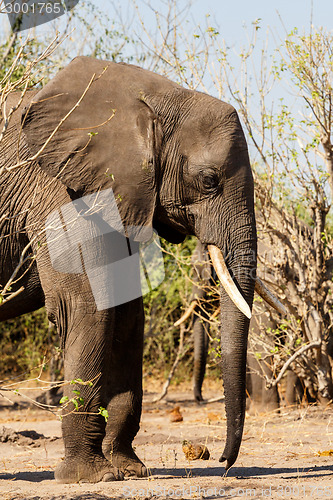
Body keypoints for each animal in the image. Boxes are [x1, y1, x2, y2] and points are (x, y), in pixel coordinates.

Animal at [0, 56, 280, 482]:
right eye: (209, 180)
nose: (222, 461)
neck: (152, 96)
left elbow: (128, 314)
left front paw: (130, 470)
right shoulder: (57, 187)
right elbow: (84, 305)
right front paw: (90, 477)